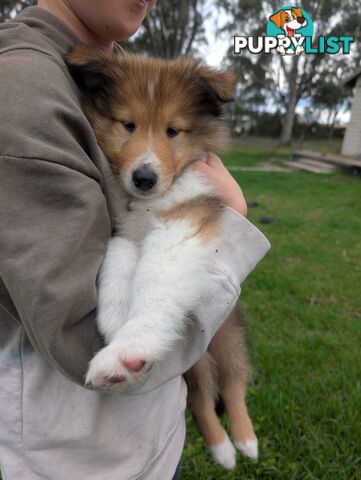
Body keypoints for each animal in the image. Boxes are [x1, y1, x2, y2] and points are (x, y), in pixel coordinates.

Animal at [66, 46, 258, 468]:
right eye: (128, 125)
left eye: (173, 130)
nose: (144, 178)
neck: (149, 204)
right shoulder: (125, 232)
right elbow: (119, 261)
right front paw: (116, 320)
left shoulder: (181, 225)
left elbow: (154, 284)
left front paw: (127, 351)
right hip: (198, 362)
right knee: (202, 396)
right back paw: (221, 447)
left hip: (229, 335)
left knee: (234, 384)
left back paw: (243, 441)